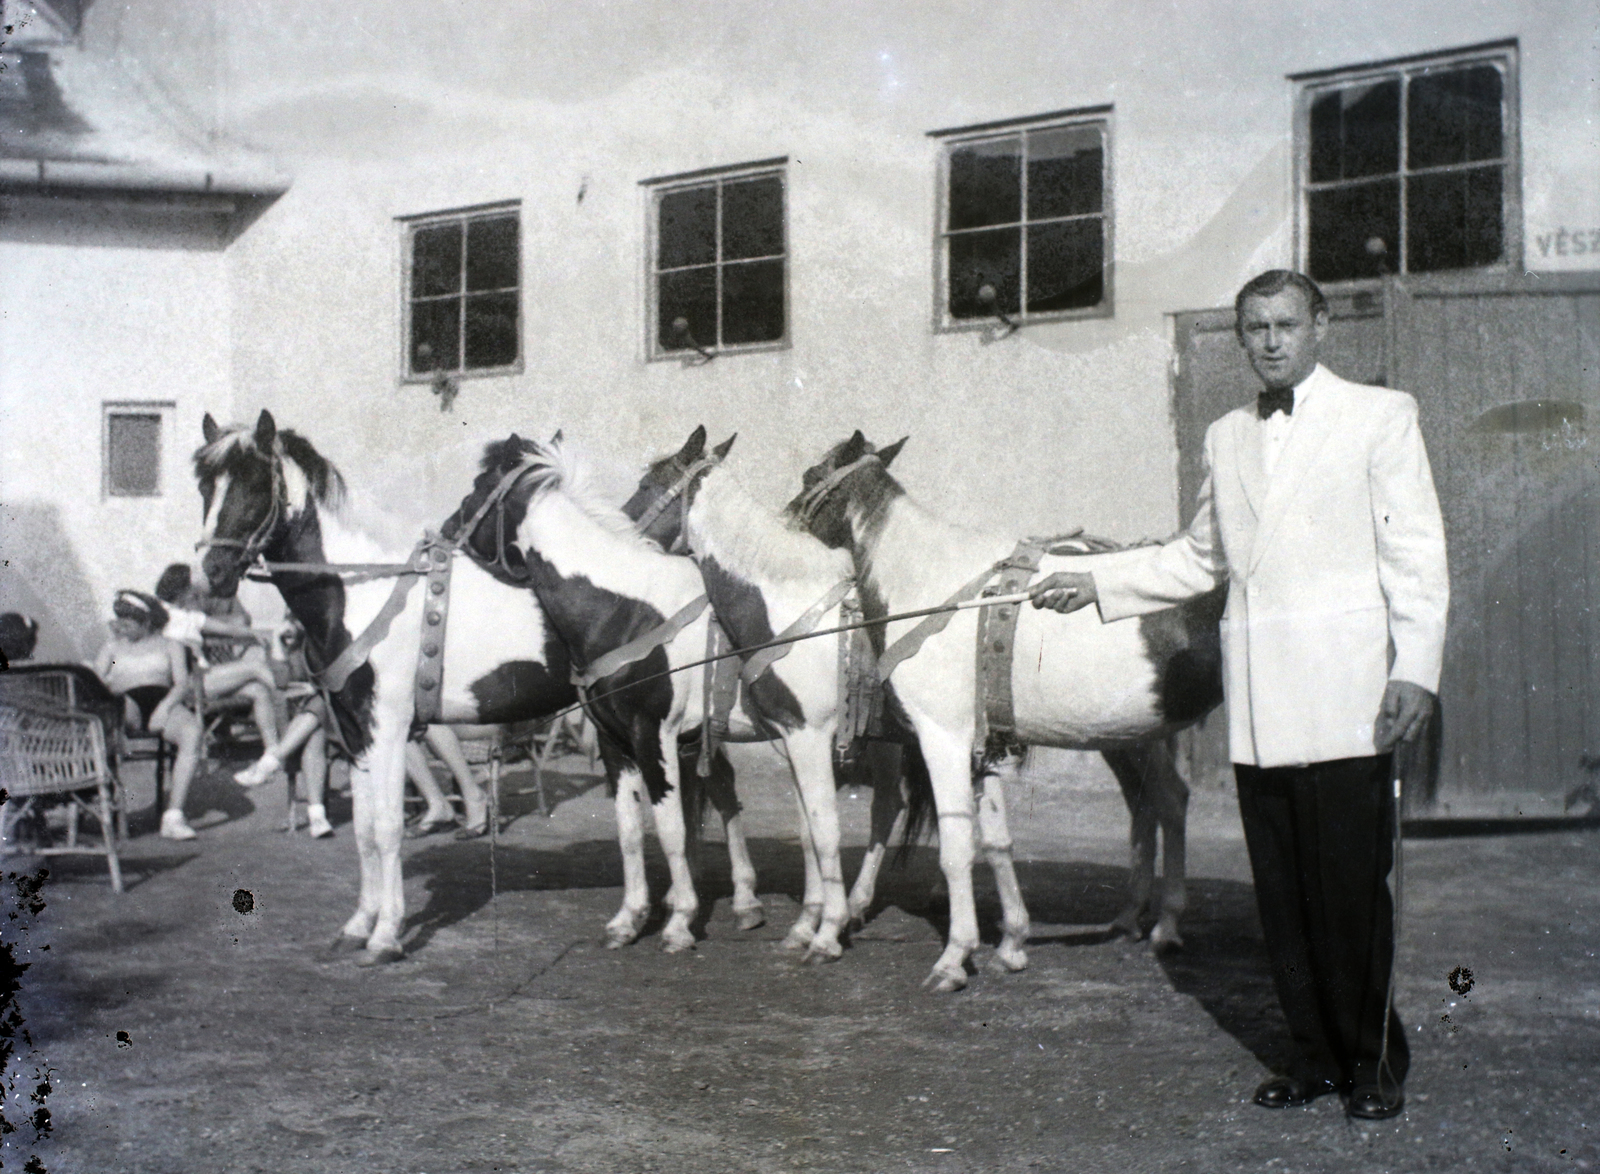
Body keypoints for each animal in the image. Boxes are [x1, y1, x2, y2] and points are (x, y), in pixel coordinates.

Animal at [617, 428, 934, 959]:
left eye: (645, 484)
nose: (615, 528)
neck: (784, 608)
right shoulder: (785, 738)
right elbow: (802, 828)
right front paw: (806, 922)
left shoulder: (808, 736)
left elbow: (820, 829)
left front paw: (822, 929)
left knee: (893, 808)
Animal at [787, 431, 1222, 991]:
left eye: (809, 476)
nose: (786, 517)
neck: (929, 584)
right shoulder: (982, 747)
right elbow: (996, 841)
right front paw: (1011, 945)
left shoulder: (943, 739)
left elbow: (956, 847)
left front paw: (954, 958)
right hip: (1129, 738)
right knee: (1162, 801)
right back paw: (1144, 920)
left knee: (1164, 803)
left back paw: (1164, 925)